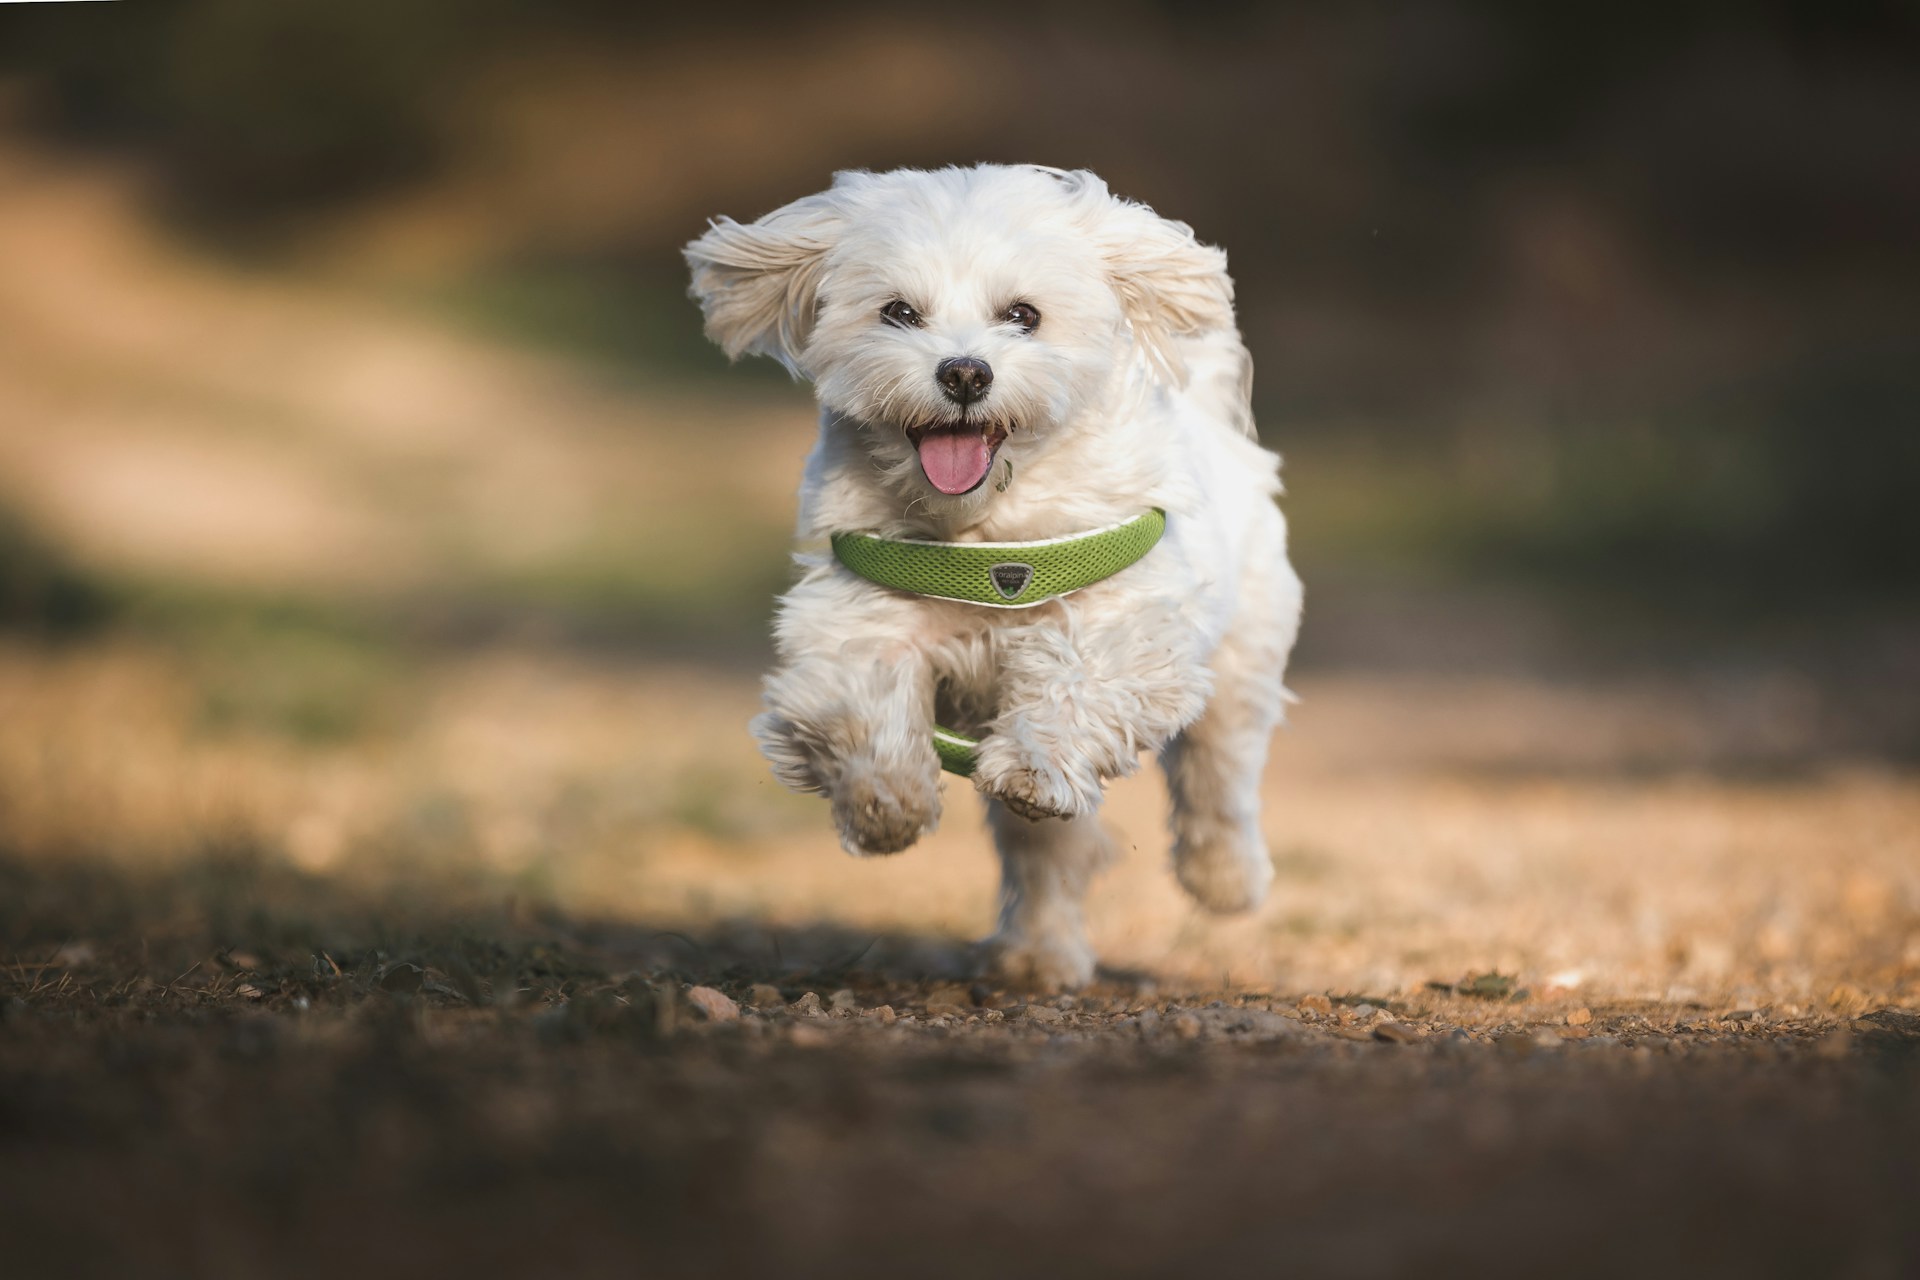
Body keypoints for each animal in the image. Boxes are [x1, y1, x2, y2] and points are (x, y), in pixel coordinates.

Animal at [683, 165, 1297, 990]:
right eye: (899, 312)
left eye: (1022, 315)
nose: (966, 371)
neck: (983, 533)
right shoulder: (855, 614)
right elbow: (859, 701)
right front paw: (886, 800)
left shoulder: (1129, 621)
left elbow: (1079, 679)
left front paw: (1036, 762)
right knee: (1047, 853)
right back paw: (1037, 953)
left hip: (1244, 652)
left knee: (1219, 771)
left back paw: (1224, 876)